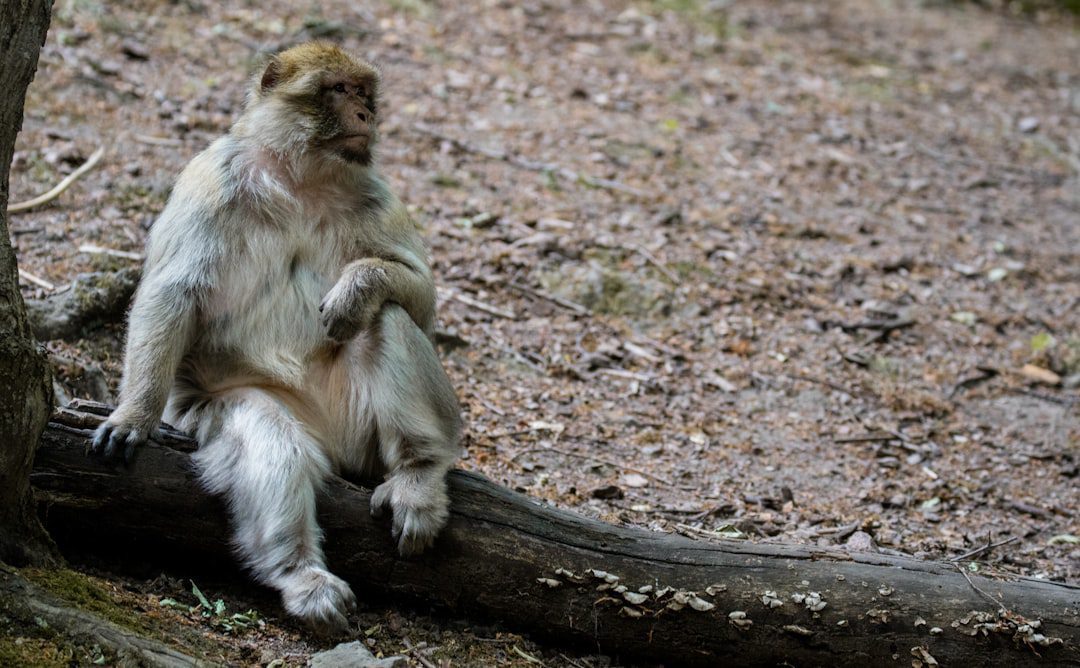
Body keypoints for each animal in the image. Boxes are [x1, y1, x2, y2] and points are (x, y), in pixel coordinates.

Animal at [91, 43, 460, 638]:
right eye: (337, 90)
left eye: (364, 92)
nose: (365, 114)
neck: (299, 176)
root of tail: (335, 446)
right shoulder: (211, 176)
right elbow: (172, 293)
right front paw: (134, 415)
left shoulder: (376, 193)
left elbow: (421, 302)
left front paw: (357, 288)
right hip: (227, 410)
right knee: (271, 436)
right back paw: (301, 576)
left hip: (359, 434)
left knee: (385, 319)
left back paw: (418, 475)